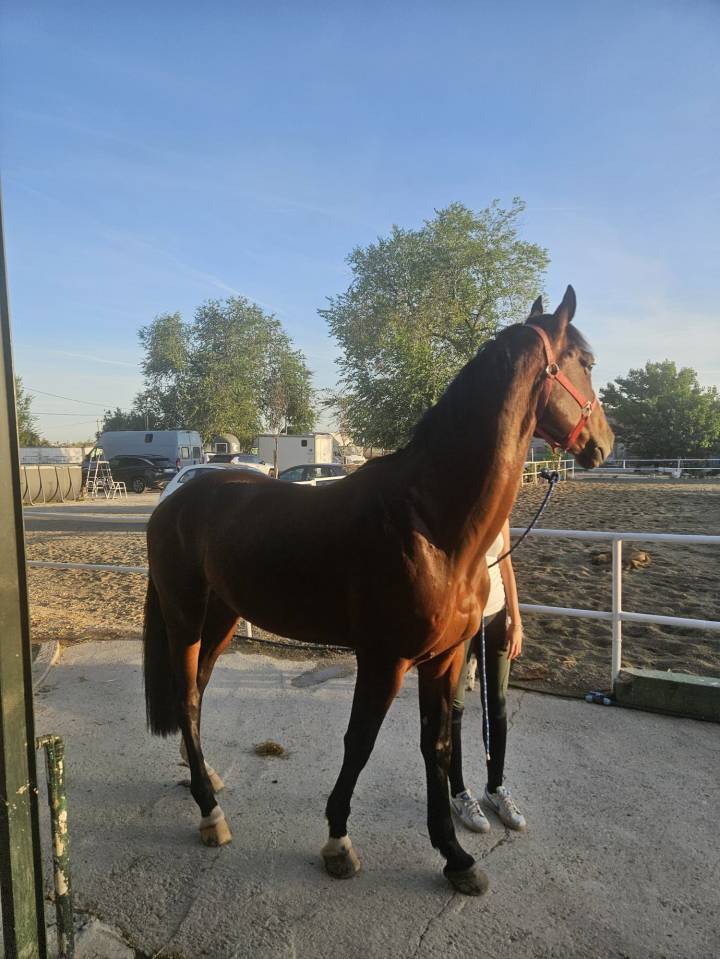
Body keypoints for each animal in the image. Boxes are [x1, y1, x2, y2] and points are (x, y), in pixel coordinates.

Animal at [143, 286, 614, 896]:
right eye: (587, 362)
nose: (604, 443)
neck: (430, 524)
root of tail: (173, 501)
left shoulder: (444, 658)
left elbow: (437, 747)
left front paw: (455, 857)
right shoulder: (384, 659)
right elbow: (359, 743)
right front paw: (338, 842)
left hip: (221, 617)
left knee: (196, 695)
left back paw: (204, 779)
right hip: (184, 615)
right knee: (185, 697)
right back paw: (209, 813)